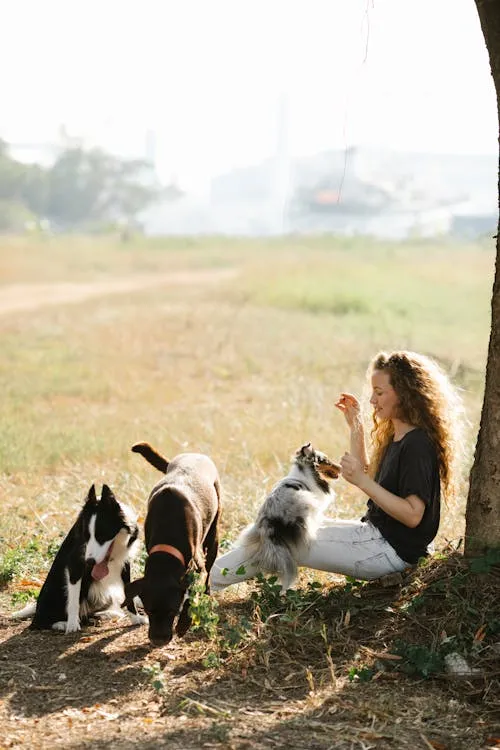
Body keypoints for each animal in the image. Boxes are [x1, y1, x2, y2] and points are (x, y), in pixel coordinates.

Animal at [11, 482, 146, 636]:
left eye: (101, 536)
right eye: (87, 536)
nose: (90, 562)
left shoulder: (125, 562)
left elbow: (129, 593)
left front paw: (135, 618)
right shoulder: (75, 563)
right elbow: (74, 599)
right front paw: (72, 624)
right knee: (39, 622)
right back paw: (61, 623)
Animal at [123, 444, 221, 648]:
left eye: (172, 611)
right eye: (149, 611)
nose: (158, 641)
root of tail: (194, 454)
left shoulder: (197, 569)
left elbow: (192, 596)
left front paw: (184, 624)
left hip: (213, 534)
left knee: (209, 566)